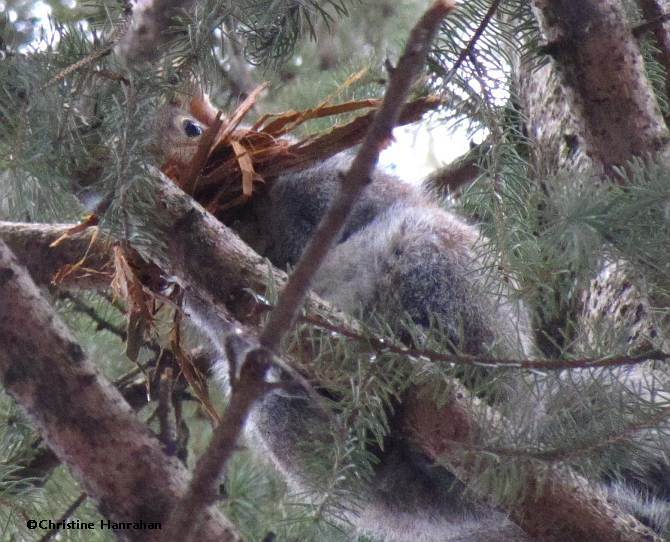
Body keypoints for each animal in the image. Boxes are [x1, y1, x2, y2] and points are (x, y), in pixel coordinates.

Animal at [158, 104, 670, 540]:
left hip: (437, 262)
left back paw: (428, 347)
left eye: (192, 127)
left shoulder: (320, 182)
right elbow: (220, 309)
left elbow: (338, 217)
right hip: (286, 421)